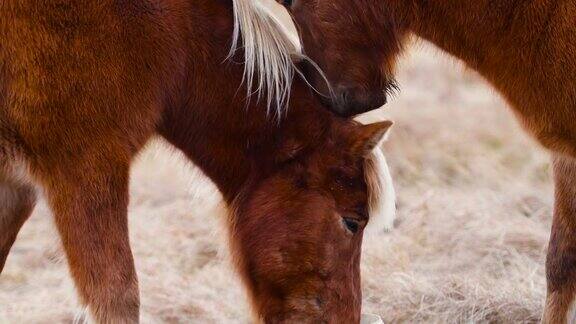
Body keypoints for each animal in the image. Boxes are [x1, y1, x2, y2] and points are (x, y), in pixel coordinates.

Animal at [0, 0, 396, 324]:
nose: (346, 319)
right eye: (353, 222)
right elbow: (117, 298)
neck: (172, 33)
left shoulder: (16, 189)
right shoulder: (87, 169)